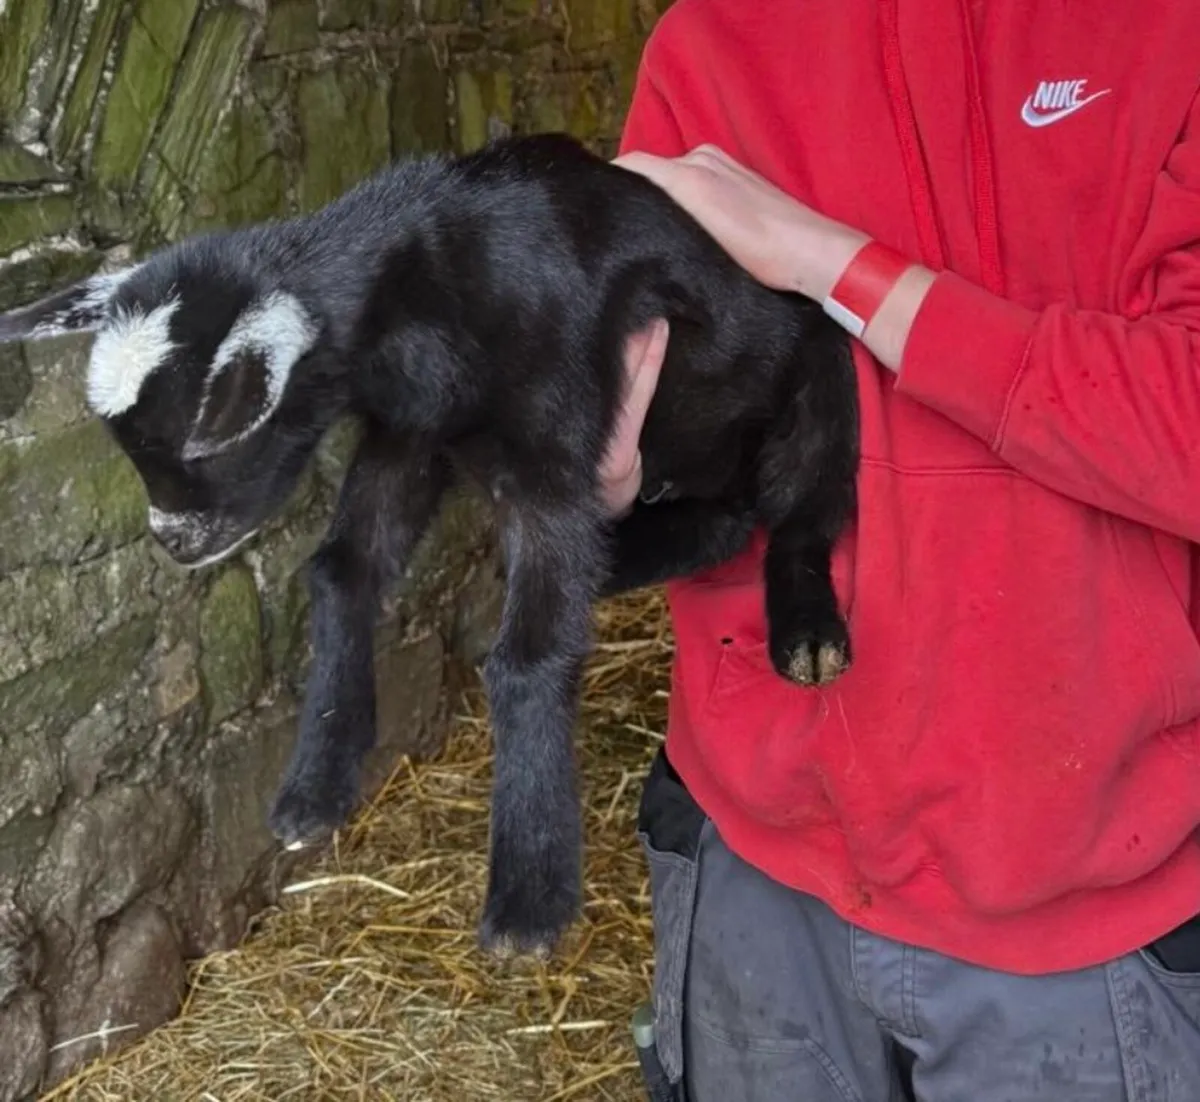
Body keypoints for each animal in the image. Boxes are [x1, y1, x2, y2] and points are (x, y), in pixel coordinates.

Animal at [0, 132, 858, 958]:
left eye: (200, 449)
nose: (173, 543)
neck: (434, 276)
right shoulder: (410, 433)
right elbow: (343, 568)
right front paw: (317, 782)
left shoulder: (553, 440)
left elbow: (526, 656)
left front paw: (529, 899)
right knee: (722, 522)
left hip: (820, 377)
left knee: (802, 513)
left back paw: (809, 636)